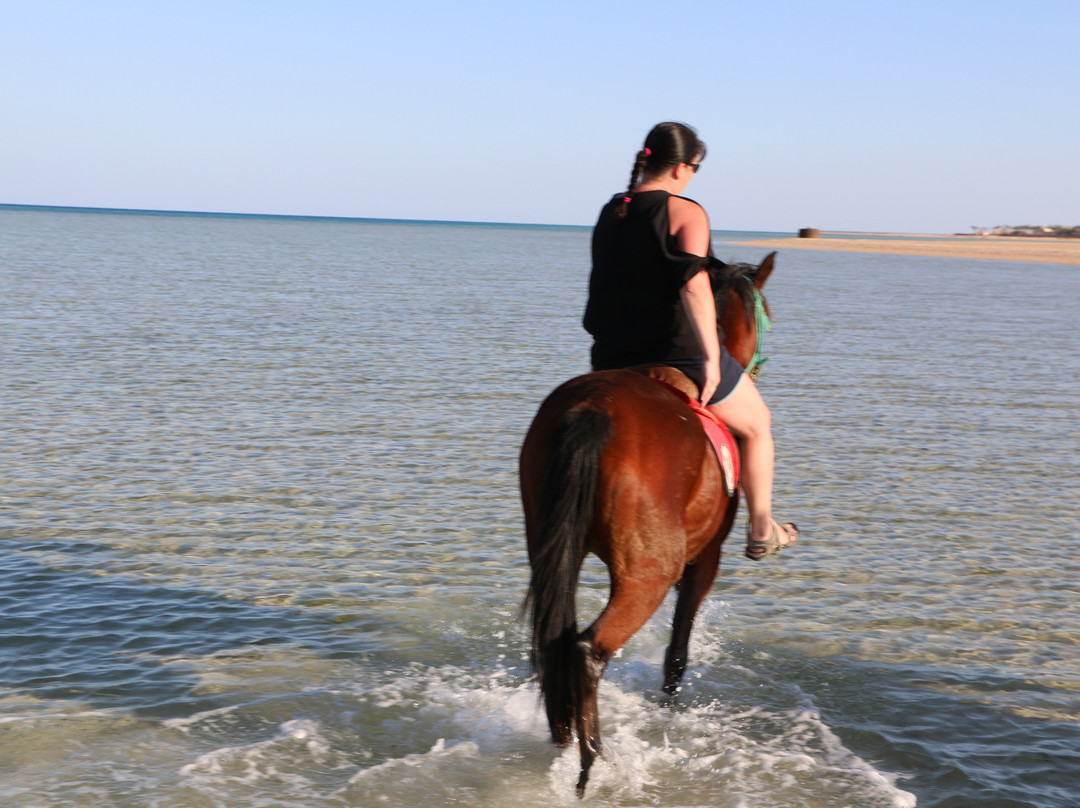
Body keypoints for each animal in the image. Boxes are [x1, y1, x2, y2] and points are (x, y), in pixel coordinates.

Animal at [519, 251, 777, 796]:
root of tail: (594, 408)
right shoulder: (704, 561)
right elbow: (677, 652)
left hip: (551, 548)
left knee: (556, 642)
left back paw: (565, 738)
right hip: (651, 573)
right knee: (589, 650)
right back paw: (591, 763)